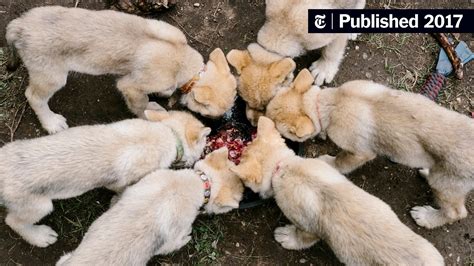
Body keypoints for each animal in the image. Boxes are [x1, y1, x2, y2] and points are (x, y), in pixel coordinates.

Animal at [7, 6, 237, 133]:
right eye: (213, 112)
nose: (226, 120)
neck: (180, 56)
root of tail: (19, 26)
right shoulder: (129, 86)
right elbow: (141, 106)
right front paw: (151, 111)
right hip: (52, 76)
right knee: (34, 96)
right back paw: (51, 123)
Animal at [57, 149, 244, 264]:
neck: (199, 183)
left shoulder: (135, 187)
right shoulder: (171, 240)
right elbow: (178, 241)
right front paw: (188, 237)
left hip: (63, 259)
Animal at [266, 68, 474, 229]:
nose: (260, 121)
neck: (332, 102)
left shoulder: (360, 153)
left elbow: (340, 162)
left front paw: (329, 161)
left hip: (445, 184)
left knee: (456, 212)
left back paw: (426, 217)